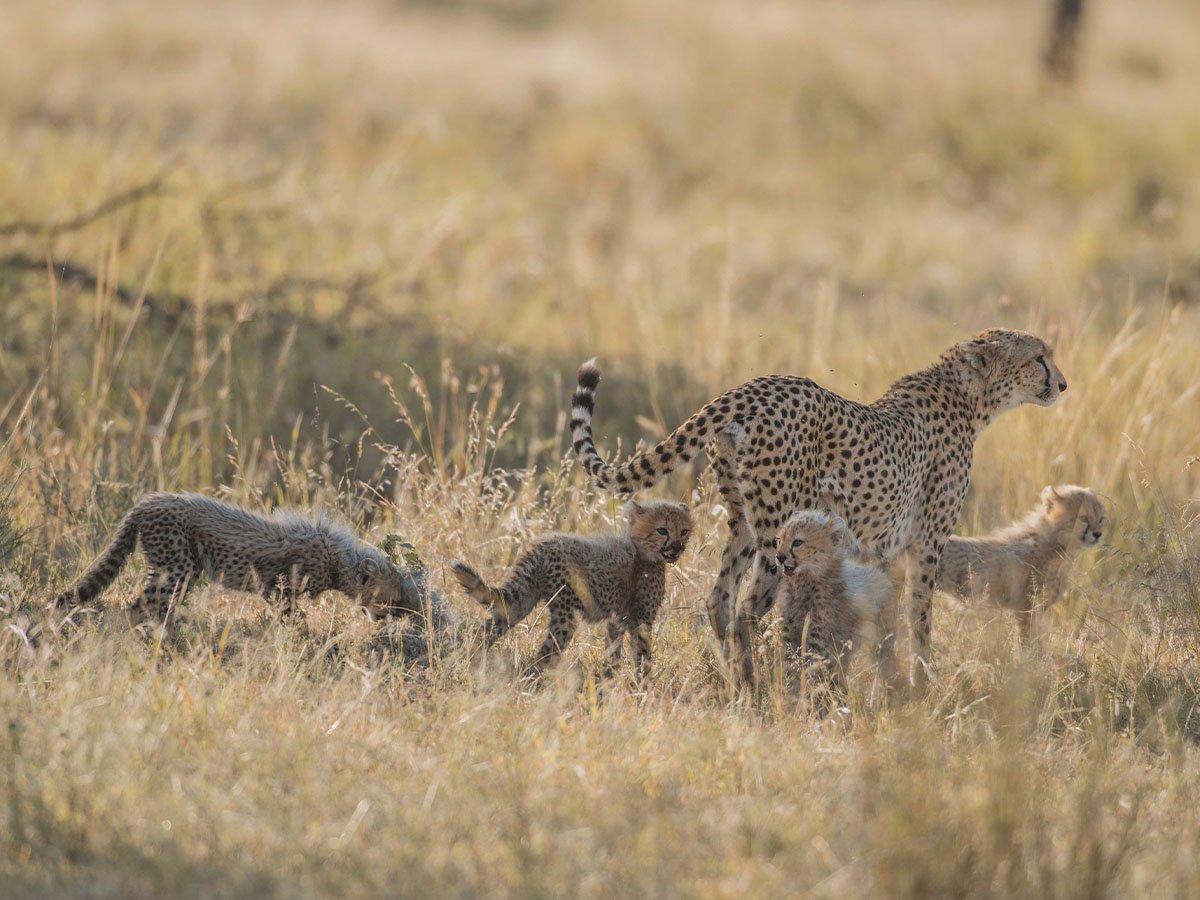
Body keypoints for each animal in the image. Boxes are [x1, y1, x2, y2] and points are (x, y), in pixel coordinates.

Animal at [53, 492, 425, 632]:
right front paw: (301, 635)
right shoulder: (280, 588)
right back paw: (160, 637)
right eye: (390, 599)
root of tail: (149, 500)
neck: (339, 559)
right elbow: (292, 617)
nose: (387, 617)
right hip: (178, 566)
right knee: (141, 605)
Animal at [451, 499, 693, 682]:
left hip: (520, 602)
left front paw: (608, 682)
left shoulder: (618, 618)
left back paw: (469, 663)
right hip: (566, 614)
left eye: (684, 531)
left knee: (483, 631)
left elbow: (612, 653)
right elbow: (643, 655)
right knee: (546, 653)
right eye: (662, 530)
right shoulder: (641, 619)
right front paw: (644, 688)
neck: (642, 551)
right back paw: (536, 685)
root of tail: (542, 544)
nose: (677, 547)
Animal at [569, 327, 1067, 686]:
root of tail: (749, 388)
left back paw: (728, 680)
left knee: (719, 600)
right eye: (1038, 357)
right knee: (746, 612)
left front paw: (886, 679)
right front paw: (924, 682)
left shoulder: (885, 551)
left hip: (744, 522)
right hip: (777, 536)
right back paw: (754, 688)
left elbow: (884, 617)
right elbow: (920, 618)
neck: (967, 397)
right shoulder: (926, 545)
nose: (1062, 384)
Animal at [935, 484, 1106, 639]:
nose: (1098, 534)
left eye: (1101, 519)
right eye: (1083, 518)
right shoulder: (1025, 608)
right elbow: (1028, 642)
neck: (1055, 543)